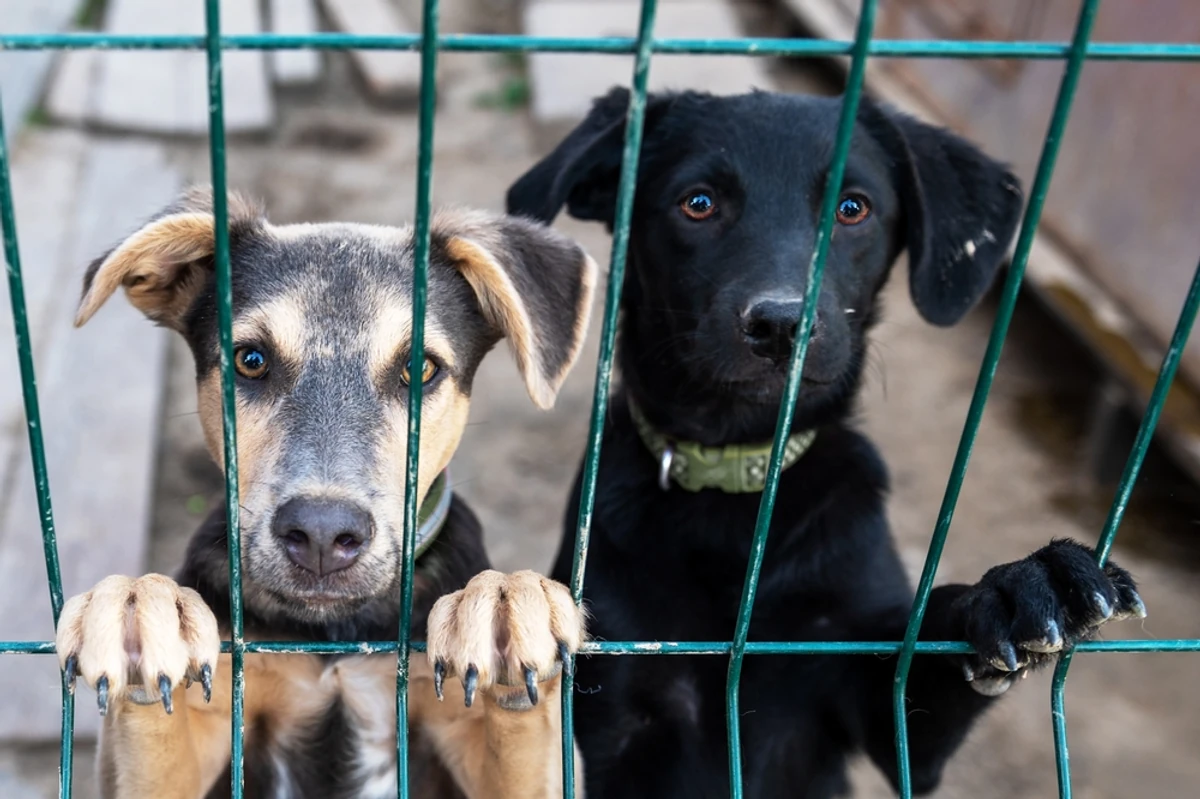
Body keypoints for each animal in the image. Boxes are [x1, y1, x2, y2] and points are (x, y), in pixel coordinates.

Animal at [56, 189, 600, 796]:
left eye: (421, 368)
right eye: (250, 360)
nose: (320, 534)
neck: (333, 634)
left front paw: (507, 606)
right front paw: (137, 609)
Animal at [504, 88, 1142, 796]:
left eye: (852, 208)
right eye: (697, 202)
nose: (782, 324)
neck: (739, 485)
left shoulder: (881, 707)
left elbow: (925, 646)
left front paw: (1018, 588)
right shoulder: (620, 705)